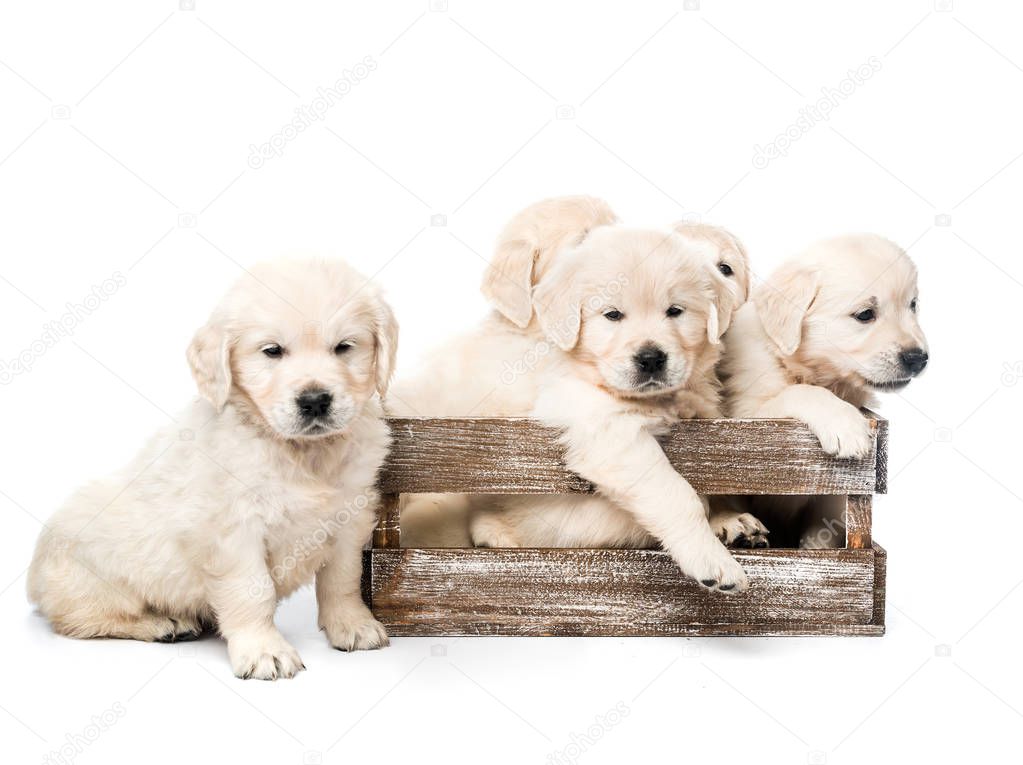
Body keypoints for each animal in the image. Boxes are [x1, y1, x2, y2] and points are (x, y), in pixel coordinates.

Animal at [28, 258, 394, 683]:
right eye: (272, 351)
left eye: (343, 347)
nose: (316, 400)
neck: (303, 452)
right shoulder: (232, 530)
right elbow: (253, 591)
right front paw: (264, 650)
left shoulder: (352, 514)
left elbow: (343, 578)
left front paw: (352, 624)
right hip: (90, 581)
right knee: (83, 620)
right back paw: (165, 623)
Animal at [720, 234, 928, 548]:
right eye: (865, 315)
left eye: (912, 305)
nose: (919, 358)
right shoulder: (746, 415)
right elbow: (801, 392)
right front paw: (846, 425)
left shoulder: (830, 499)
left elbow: (822, 533)